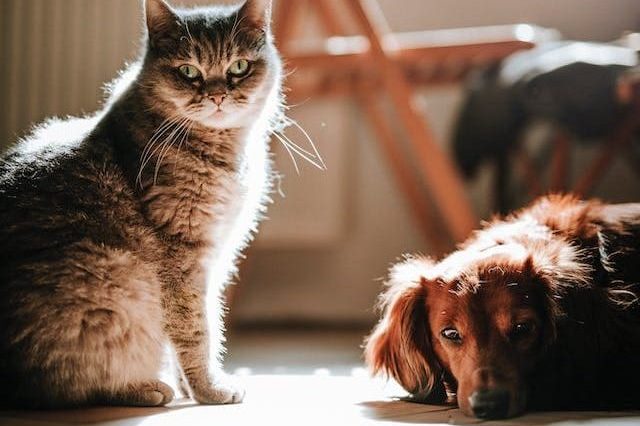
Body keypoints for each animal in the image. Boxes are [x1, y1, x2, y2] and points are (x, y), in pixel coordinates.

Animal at [0, 0, 284, 408]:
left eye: (239, 67)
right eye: (188, 71)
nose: (217, 96)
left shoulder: (215, 260)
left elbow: (195, 328)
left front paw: (191, 387)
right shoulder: (183, 260)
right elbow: (198, 331)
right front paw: (209, 390)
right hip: (116, 278)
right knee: (68, 385)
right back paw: (145, 388)